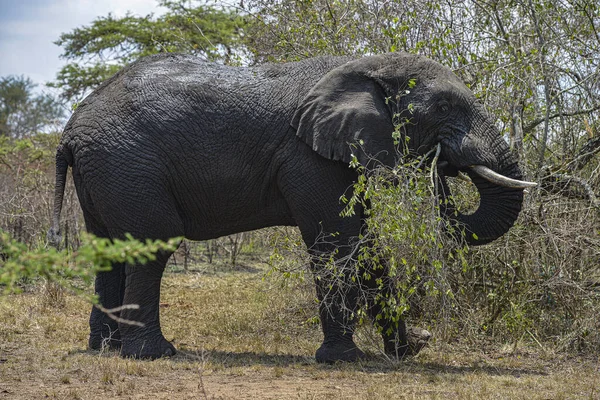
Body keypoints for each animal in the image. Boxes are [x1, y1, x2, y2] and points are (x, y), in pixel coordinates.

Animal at [48, 52, 536, 362]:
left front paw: (409, 350)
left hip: (107, 170)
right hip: (128, 163)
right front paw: (344, 359)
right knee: (153, 245)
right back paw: (153, 355)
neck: (368, 65)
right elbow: (338, 243)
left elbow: (368, 245)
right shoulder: (308, 156)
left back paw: (105, 349)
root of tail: (70, 128)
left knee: (108, 252)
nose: (441, 169)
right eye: (444, 106)